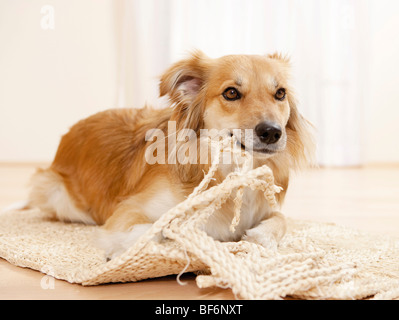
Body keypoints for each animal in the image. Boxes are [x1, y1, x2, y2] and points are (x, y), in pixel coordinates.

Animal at [27, 51, 316, 258]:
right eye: (231, 93)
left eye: (280, 93)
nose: (272, 132)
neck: (231, 171)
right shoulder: (130, 210)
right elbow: (154, 228)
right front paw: (124, 249)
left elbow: (281, 220)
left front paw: (259, 238)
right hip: (60, 197)